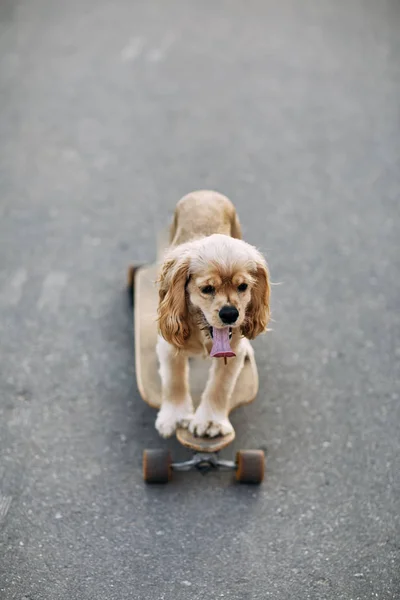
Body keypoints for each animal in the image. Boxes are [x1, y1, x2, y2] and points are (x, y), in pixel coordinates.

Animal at [155, 192, 270, 440]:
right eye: (207, 289)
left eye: (243, 286)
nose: (230, 314)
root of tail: (205, 192)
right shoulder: (168, 344)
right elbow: (174, 380)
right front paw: (175, 417)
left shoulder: (233, 350)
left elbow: (220, 385)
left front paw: (210, 423)